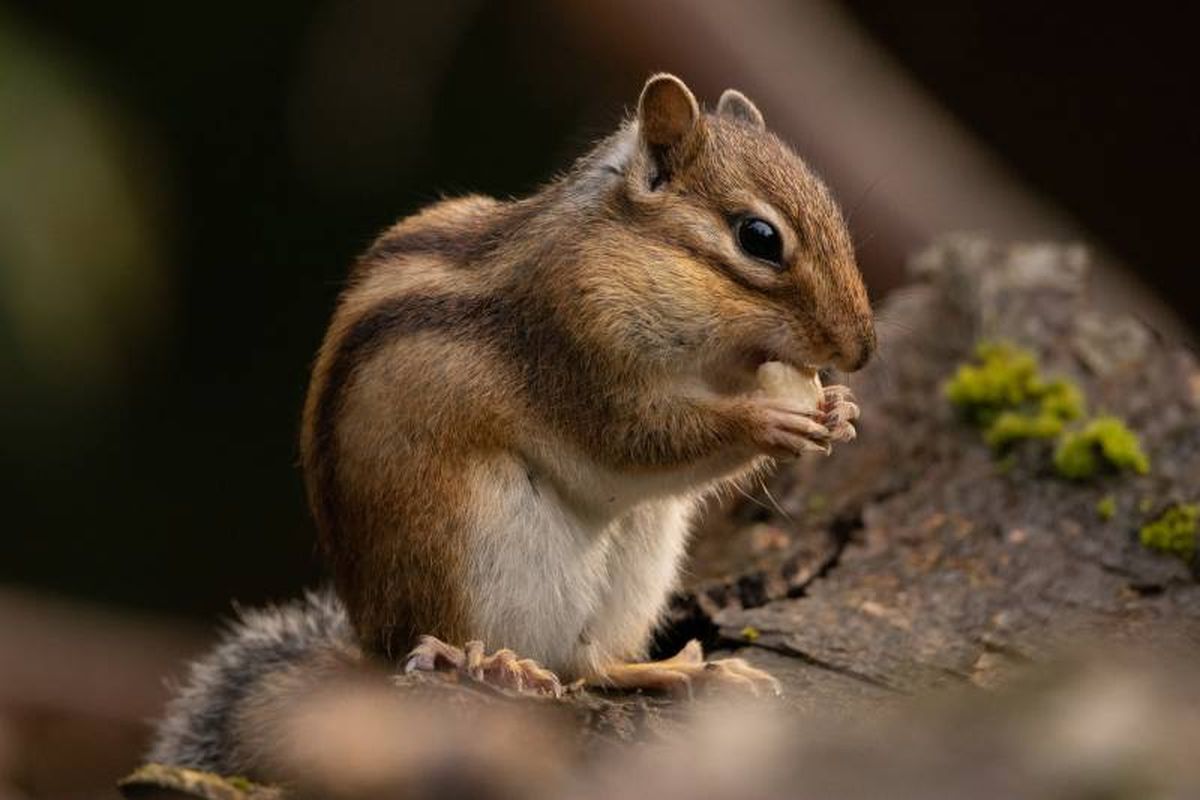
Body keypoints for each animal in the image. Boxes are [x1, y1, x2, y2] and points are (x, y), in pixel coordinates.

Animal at [149, 74, 874, 777]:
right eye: (759, 237)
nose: (861, 351)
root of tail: (366, 651)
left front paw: (840, 410)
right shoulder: (574, 348)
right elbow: (637, 441)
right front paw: (770, 418)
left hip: (640, 557)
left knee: (588, 664)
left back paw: (684, 671)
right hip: (464, 551)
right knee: (429, 645)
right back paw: (484, 663)